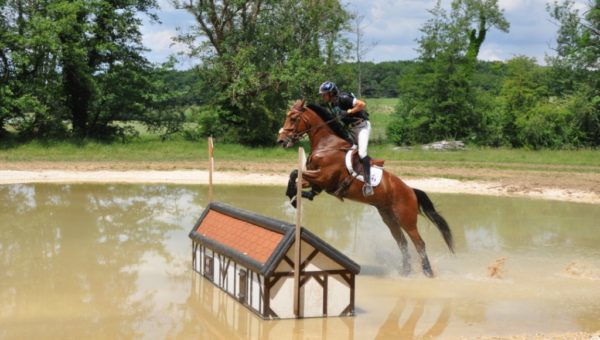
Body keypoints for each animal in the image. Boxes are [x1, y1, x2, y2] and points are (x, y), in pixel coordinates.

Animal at [278, 99, 454, 278]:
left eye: (293, 118)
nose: (281, 141)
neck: (327, 145)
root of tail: (411, 191)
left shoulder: (323, 177)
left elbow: (295, 172)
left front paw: (293, 197)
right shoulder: (317, 181)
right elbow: (295, 177)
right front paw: (293, 197)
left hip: (406, 219)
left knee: (419, 243)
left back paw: (427, 272)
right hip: (388, 217)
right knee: (402, 242)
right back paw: (405, 271)